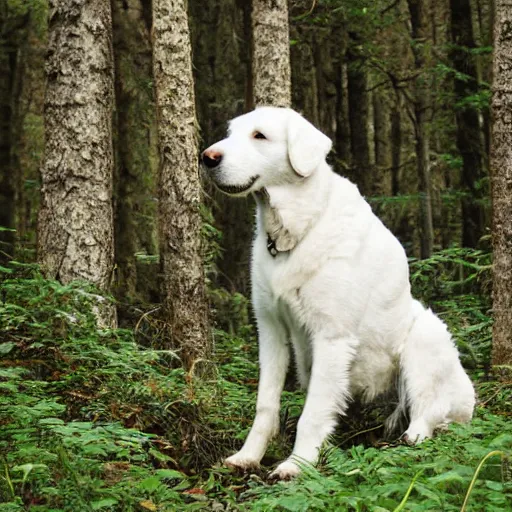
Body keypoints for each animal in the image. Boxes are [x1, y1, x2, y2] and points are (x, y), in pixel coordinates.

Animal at [201, 106, 476, 478]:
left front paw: (296, 465)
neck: (292, 232)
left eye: (259, 135)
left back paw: (413, 434)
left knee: (430, 410)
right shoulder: (270, 329)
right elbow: (265, 406)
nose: (207, 157)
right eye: (230, 133)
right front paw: (248, 456)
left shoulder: (331, 336)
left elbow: (312, 413)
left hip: (425, 334)